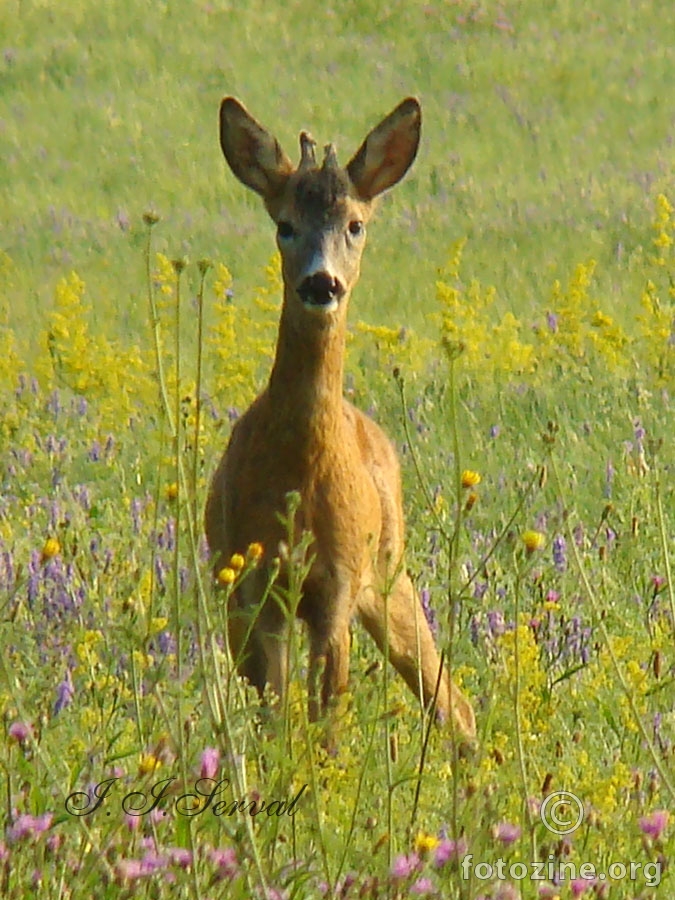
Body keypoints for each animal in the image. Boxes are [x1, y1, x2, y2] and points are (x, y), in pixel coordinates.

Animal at [206, 95, 476, 740]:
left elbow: (325, 728)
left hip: (388, 570)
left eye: (355, 224)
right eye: (284, 225)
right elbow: (276, 724)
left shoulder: (336, 584)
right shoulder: (250, 585)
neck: (299, 476)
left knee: (452, 700)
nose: (321, 282)